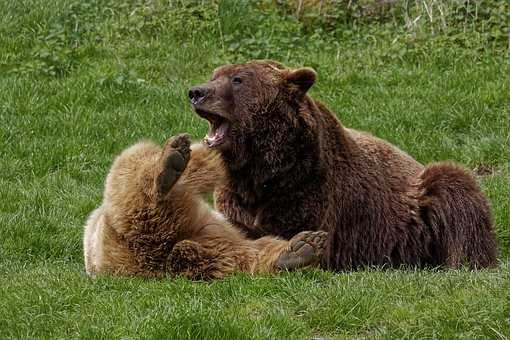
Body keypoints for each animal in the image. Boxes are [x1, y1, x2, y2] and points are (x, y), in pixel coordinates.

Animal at [187, 59, 498, 270]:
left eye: (238, 79)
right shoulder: (237, 195)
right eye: (215, 75)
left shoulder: (307, 186)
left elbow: (289, 230)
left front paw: (295, 250)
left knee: (454, 189)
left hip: (422, 201)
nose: (196, 92)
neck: (261, 167)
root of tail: (414, 159)